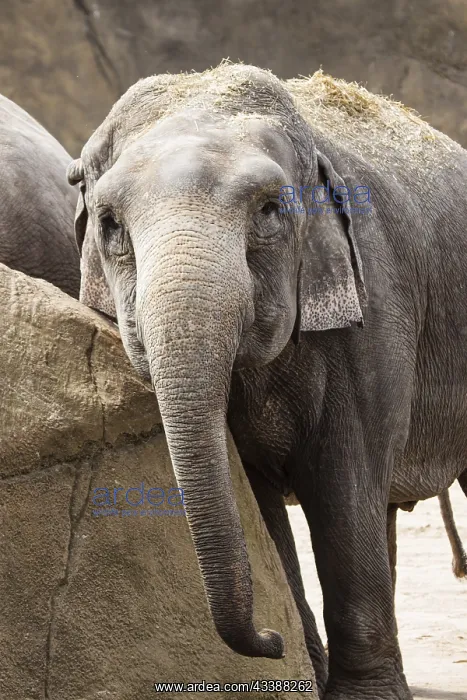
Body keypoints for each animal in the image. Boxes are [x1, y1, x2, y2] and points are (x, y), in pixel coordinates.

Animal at [67, 63, 467, 700]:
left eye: (269, 211)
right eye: (109, 225)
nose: (270, 641)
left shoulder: (375, 306)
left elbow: (344, 485)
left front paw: (362, 695)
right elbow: (257, 498)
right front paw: (306, 671)